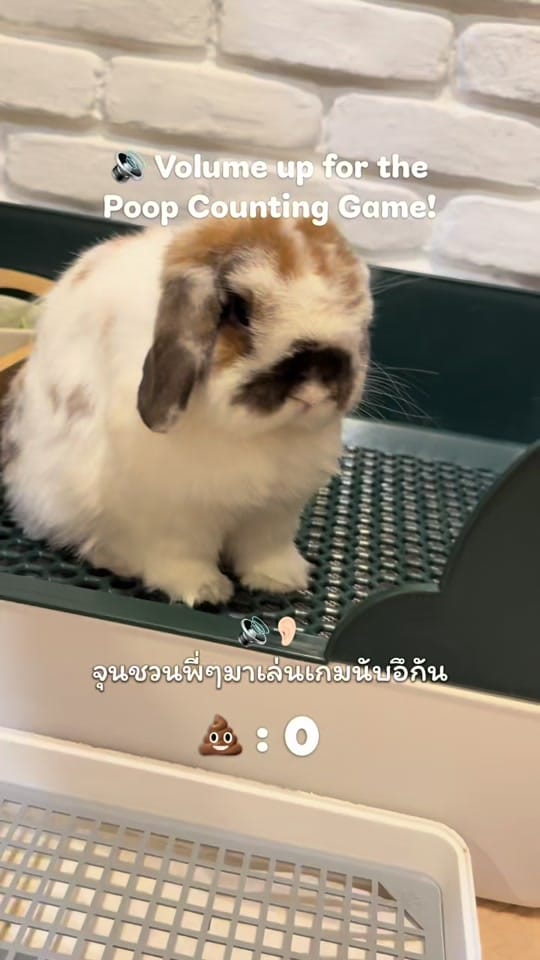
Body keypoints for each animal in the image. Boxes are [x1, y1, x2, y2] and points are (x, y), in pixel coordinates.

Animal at [1, 216, 373, 607]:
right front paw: (205, 592)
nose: (316, 387)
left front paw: (280, 581)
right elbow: (182, 556)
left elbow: (265, 550)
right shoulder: (176, 516)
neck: (259, 433)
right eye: (240, 311)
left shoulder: (275, 513)